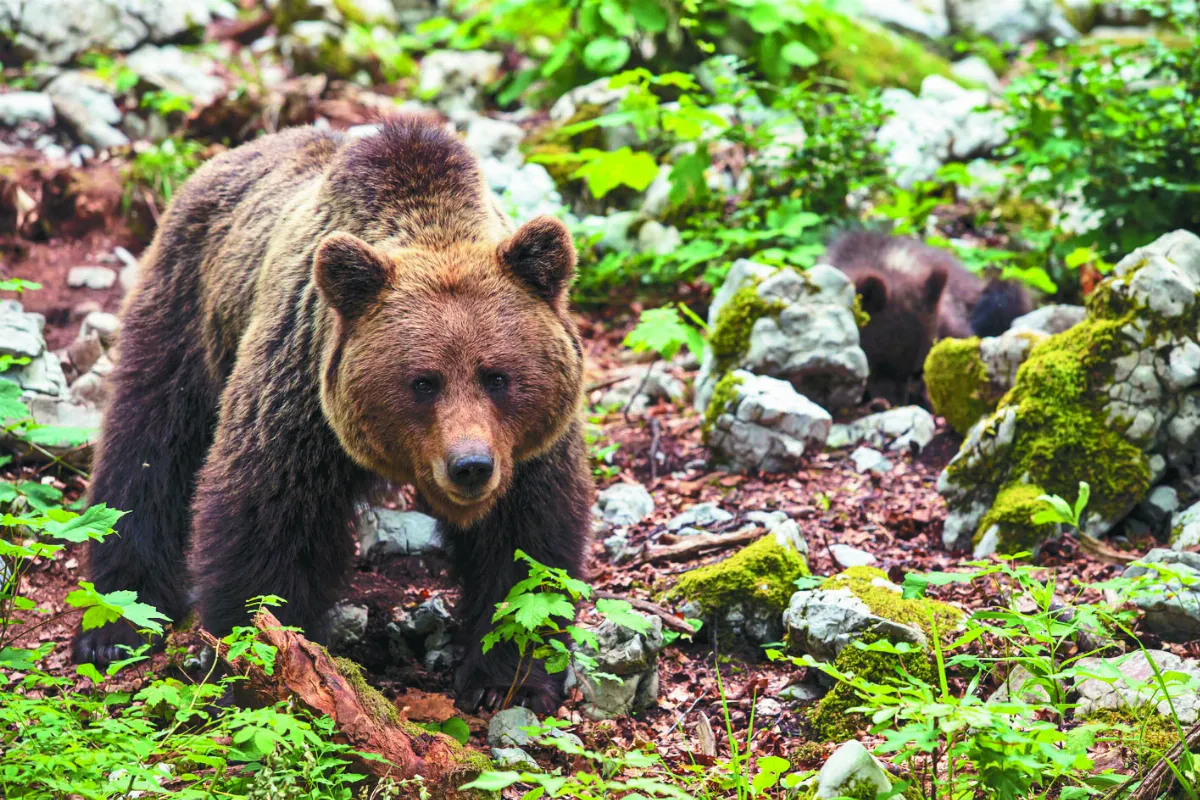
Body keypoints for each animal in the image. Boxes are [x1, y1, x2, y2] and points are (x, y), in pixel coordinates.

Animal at [71, 116, 593, 714]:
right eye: (423, 381)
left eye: (497, 376)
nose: (470, 466)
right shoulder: (300, 396)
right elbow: (263, 521)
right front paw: (263, 672)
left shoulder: (529, 448)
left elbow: (527, 552)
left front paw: (505, 680)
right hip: (189, 305)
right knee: (148, 446)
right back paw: (116, 621)